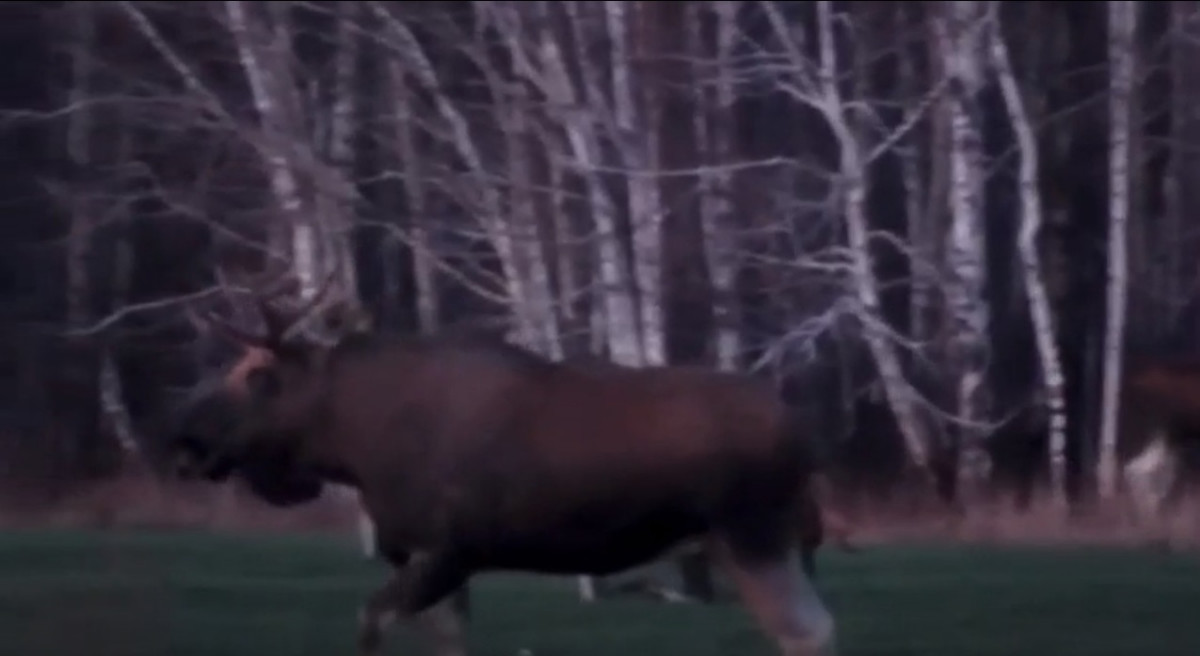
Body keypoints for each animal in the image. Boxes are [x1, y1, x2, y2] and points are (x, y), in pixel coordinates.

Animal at [166, 280, 844, 656]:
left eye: (258, 374)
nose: (184, 439)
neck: (353, 444)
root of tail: (807, 432)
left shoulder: (450, 549)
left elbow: (371, 625)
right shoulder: (427, 559)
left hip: (751, 534)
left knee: (808, 632)